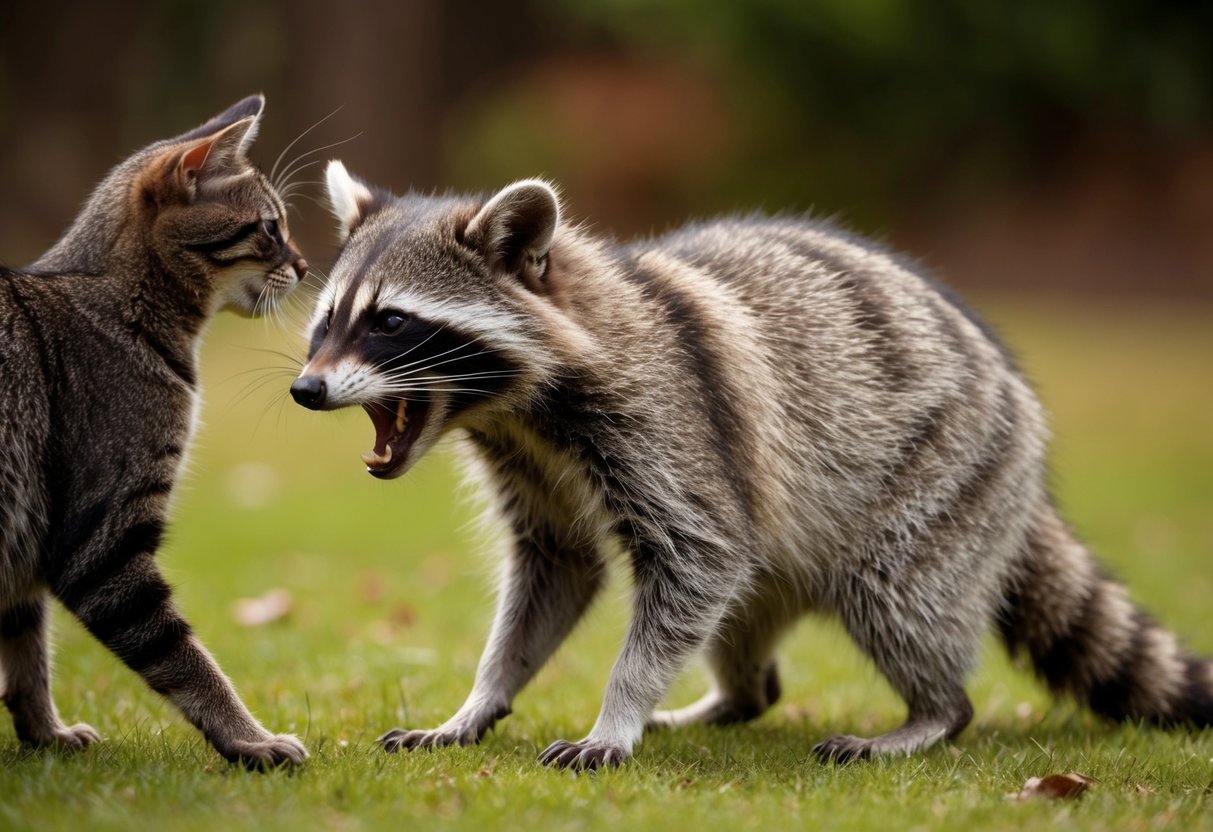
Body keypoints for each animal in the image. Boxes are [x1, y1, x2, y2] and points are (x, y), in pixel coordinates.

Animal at [1, 95, 308, 767]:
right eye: (271, 228)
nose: (304, 265)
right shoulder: (101, 543)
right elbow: (185, 657)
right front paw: (250, 739)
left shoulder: (30, 549)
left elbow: (27, 655)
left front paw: (46, 735)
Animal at [292, 161, 1212, 769]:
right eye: (326, 320)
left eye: (390, 323)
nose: (305, 389)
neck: (509, 406)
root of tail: (1015, 401)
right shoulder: (531, 468)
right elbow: (557, 573)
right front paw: (480, 699)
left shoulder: (669, 424)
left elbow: (697, 556)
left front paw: (618, 711)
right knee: (743, 625)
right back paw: (732, 697)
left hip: (943, 472)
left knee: (896, 594)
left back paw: (931, 711)